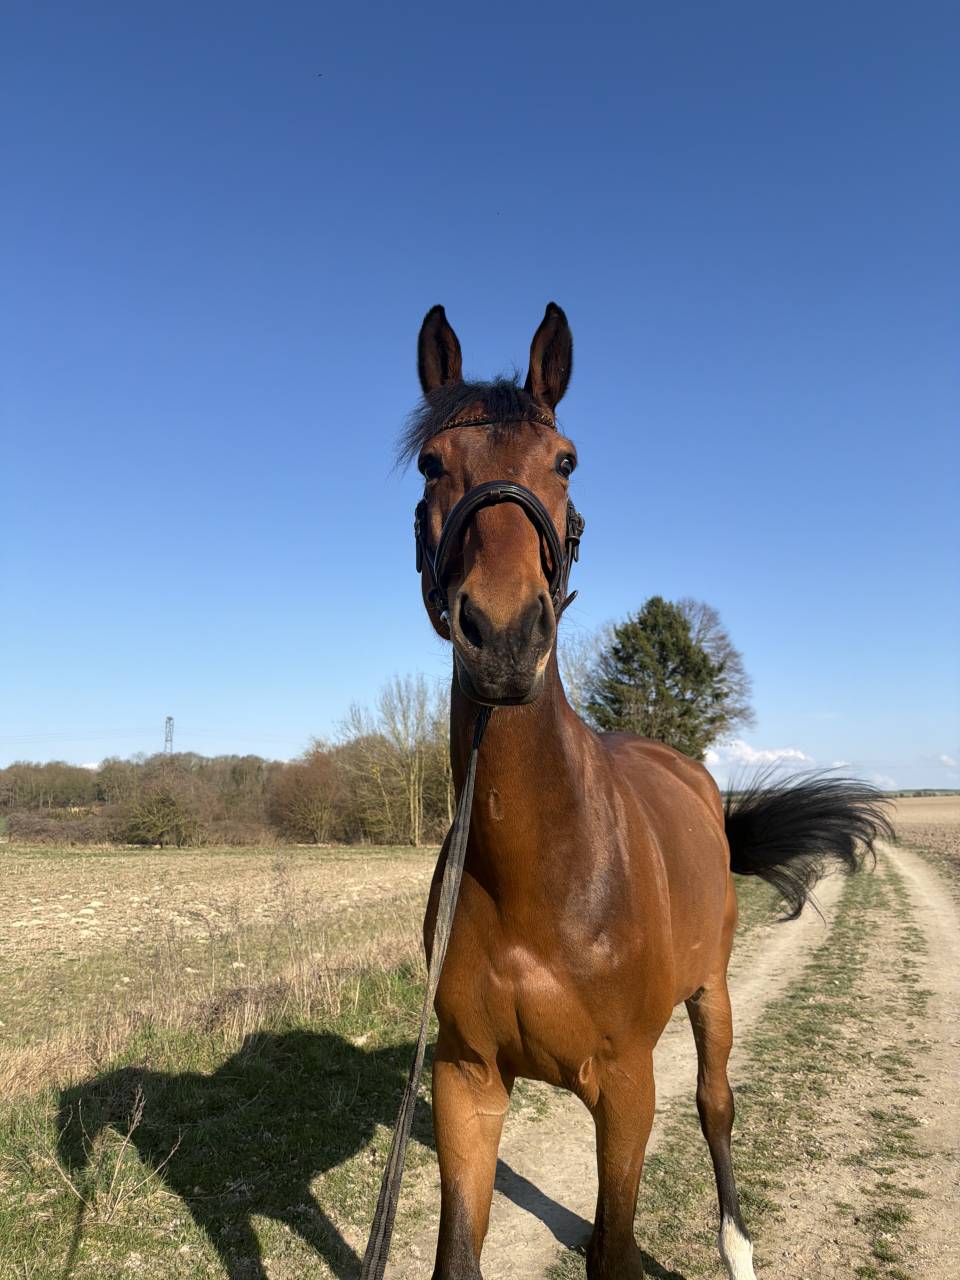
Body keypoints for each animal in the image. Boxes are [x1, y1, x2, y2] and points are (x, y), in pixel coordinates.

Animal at [401, 302, 891, 1280]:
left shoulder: (625, 1086)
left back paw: (737, 1245)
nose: (502, 635)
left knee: (716, 1103)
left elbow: (616, 1247)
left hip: (712, 994)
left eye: (565, 460)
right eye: (434, 463)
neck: (537, 870)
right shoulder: (466, 1081)